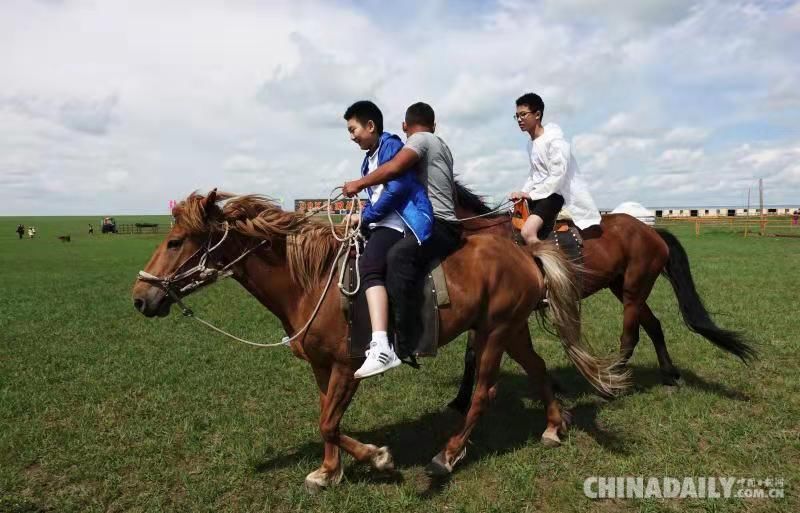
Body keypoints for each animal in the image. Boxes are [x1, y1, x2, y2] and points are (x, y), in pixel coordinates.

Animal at [133, 189, 632, 488]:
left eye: (176, 241)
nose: (140, 297)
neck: (312, 280)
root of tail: (524, 251)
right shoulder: (322, 368)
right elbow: (326, 418)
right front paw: (330, 470)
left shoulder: (346, 366)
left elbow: (328, 422)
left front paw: (377, 458)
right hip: (510, 329)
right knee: (538, 368)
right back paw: (552, 425)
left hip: (494, 333)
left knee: (482, 394)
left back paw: (448, 455)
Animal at [450, 184, 756, 412]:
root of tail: (651, 231)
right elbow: (471, 354)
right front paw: (460, 400)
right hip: (624, 290)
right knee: (654, 326)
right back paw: (668, 374)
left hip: (633, 293)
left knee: (630, 337)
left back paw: (609, 385)